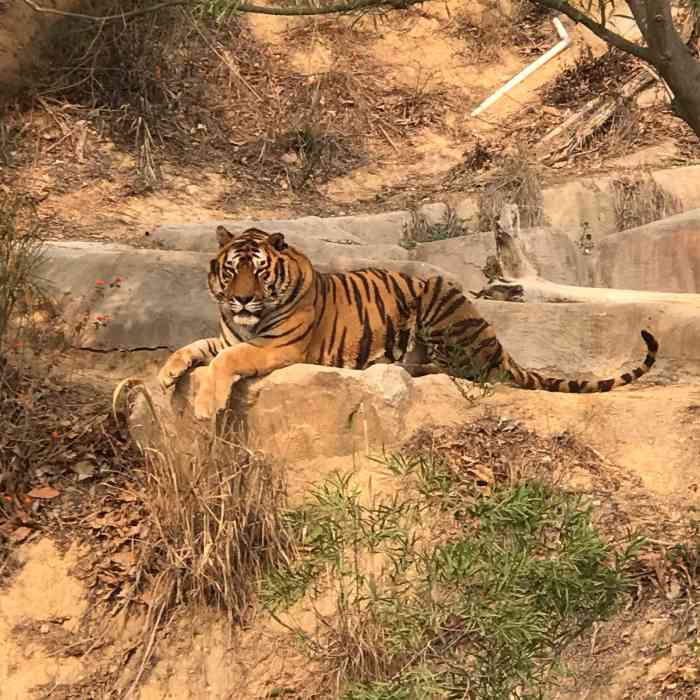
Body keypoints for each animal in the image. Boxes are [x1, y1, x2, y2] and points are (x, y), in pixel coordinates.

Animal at [157, 226, 656, 422]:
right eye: (230, 271)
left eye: (259, 272)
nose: (241, 298)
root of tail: (498, 342)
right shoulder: (228, 335)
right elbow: (197, 346)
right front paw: (166, 374)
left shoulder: (279, 348)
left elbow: (226, 361)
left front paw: (205, 404)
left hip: (439, 300)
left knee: (473, 371)